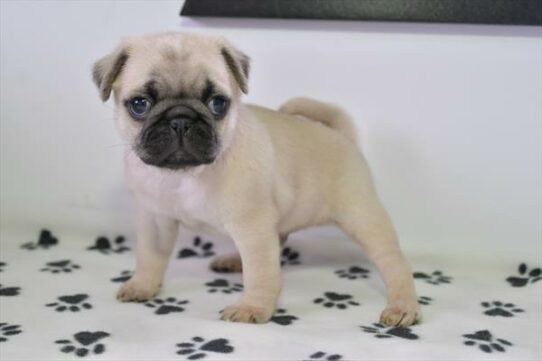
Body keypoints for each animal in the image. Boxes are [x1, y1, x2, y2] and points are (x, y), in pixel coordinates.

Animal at [93, 31, 422, 324]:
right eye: (140, 104)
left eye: (218, 103)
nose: (180, 120)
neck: (185, 175)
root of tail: (342, 136)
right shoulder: (155, 222)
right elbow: (149, 258)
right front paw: (142, 285)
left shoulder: (253, 229)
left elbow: (261, 272)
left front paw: (253, 307)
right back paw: (231, 260)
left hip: (361, 216)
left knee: (394, 263)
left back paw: (402, 306)